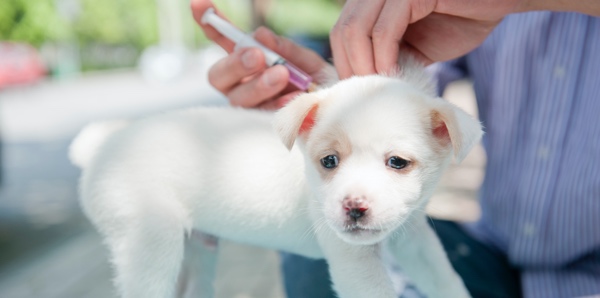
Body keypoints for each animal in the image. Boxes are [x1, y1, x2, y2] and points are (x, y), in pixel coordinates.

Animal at [71, 63, 482, 298]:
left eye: (397, 162)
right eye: (329, 161)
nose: (354, 207)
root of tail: (103, 147)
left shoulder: (415, 239)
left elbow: (446, 281)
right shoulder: (355, 263)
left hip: (196, 253)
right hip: (150, 246)